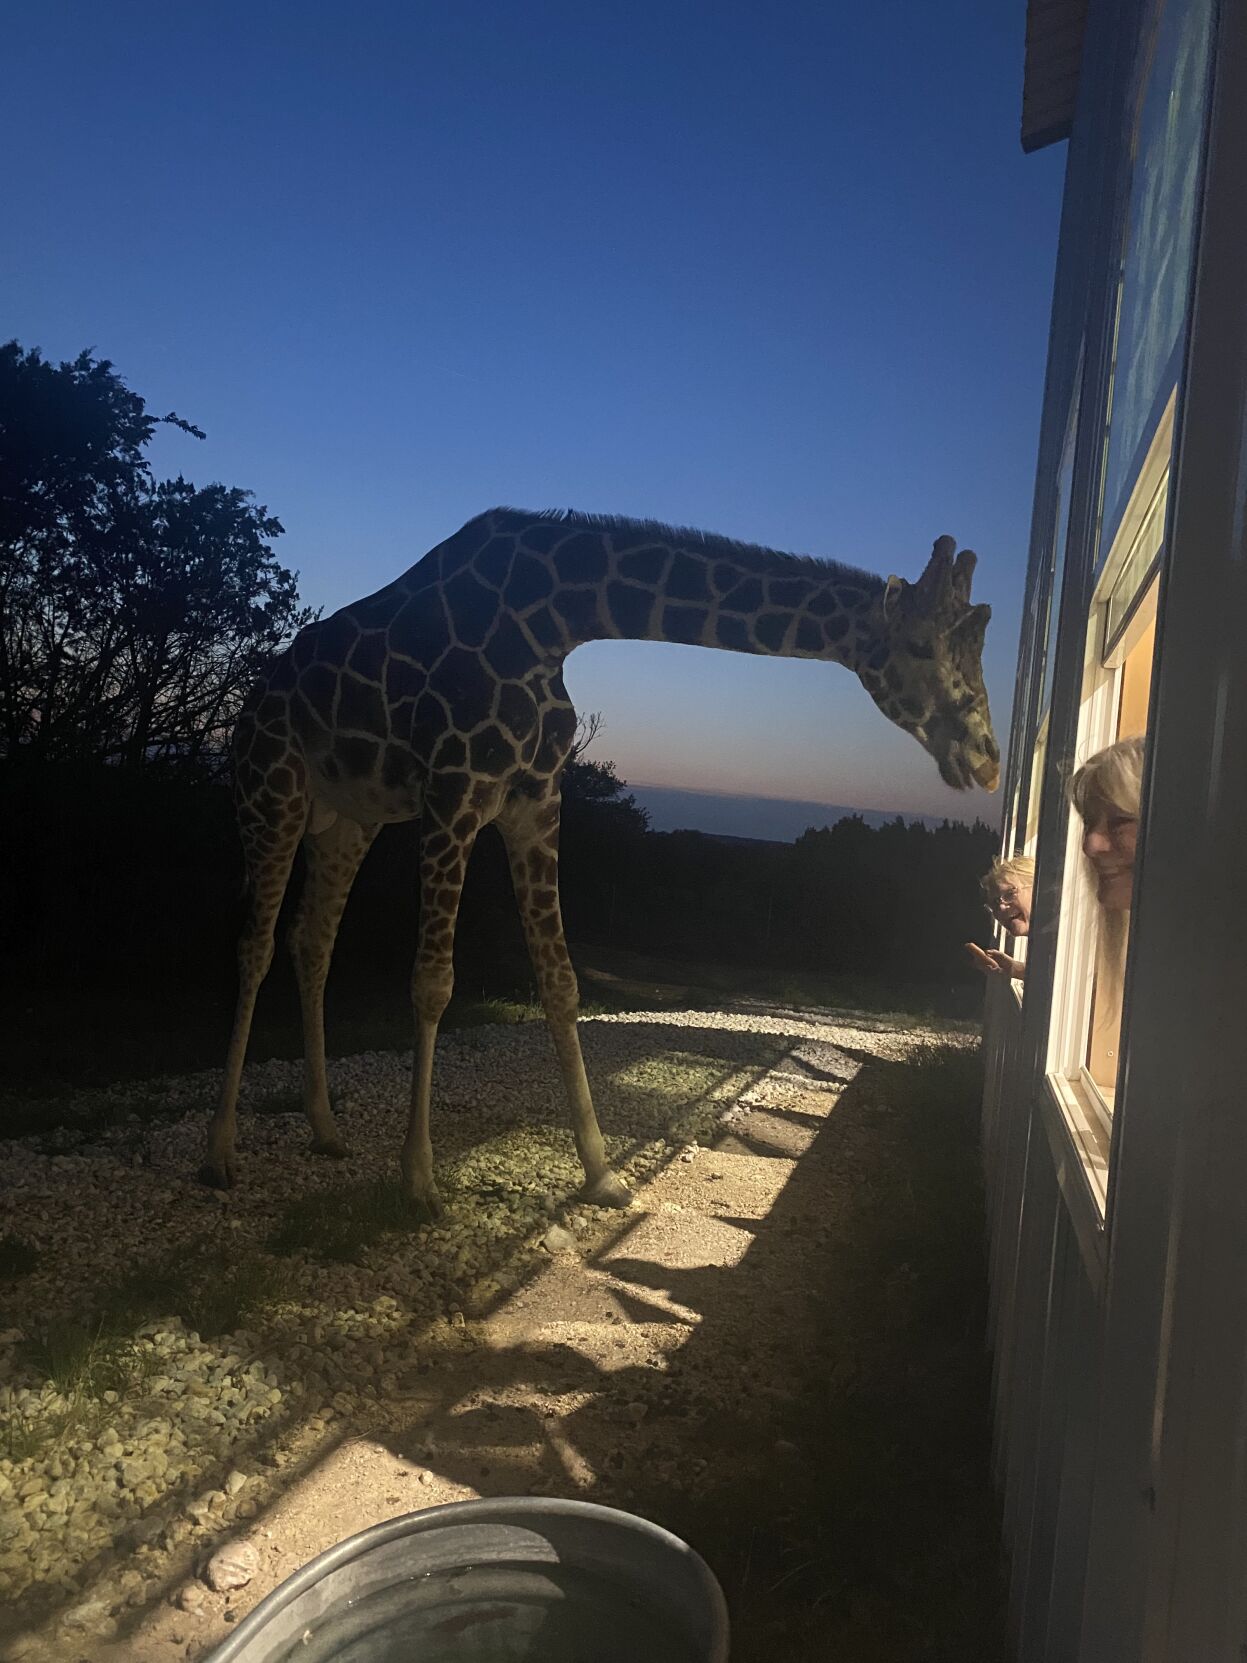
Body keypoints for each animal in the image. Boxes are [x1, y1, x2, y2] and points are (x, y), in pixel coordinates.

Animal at [203, 508, 999, 1216]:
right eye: (920, 647)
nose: (987, 761)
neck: (556, 620)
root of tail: (246, 706)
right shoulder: (453, 794)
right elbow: (432, 984)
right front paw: (420, 1181)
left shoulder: (536, 803)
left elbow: (561, 983)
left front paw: (602, 1175)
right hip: (270, 791)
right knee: (254, 944)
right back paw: (222, 1152)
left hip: (348, 819)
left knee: (312, 941)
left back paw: (326, 1130)